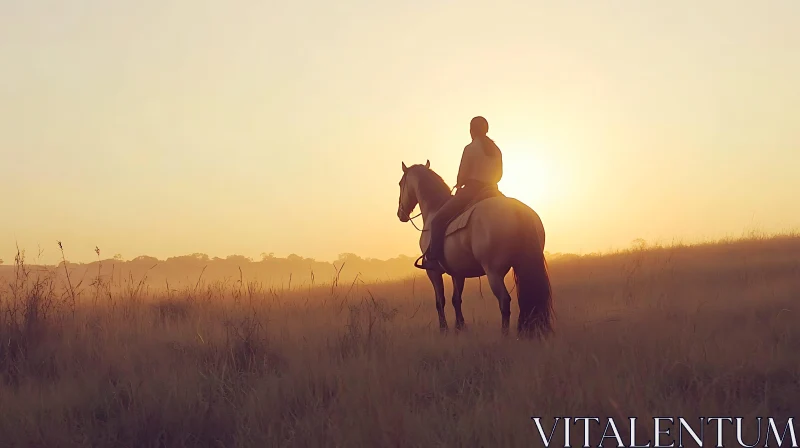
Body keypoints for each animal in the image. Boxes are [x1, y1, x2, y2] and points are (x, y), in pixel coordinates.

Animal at [396, 159, 552, 338]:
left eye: (400, 183)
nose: (400, 214)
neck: (434, 209)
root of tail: (517, 210)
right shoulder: (457, 272)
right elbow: (456, 299)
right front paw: (459, 327)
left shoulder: (433, 272)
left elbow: (440, 301)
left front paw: (444, 329)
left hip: (493, 272)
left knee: (504, 301)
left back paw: (504, 336)